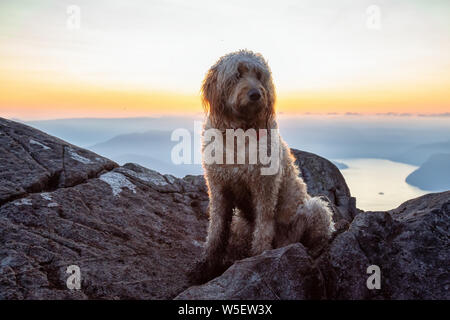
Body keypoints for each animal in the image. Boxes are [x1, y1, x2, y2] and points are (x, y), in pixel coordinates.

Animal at [192, 48, 336, 284]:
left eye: (259, 75)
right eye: (237, 74)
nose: (255, 94)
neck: (240, 132)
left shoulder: (264, 187)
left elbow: (264, 226)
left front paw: (259, 257)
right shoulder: (219, 187)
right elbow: (216, 229)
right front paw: (207, 263)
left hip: (314, 209)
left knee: (319, 233)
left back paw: (312, 249)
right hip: (240, 224)